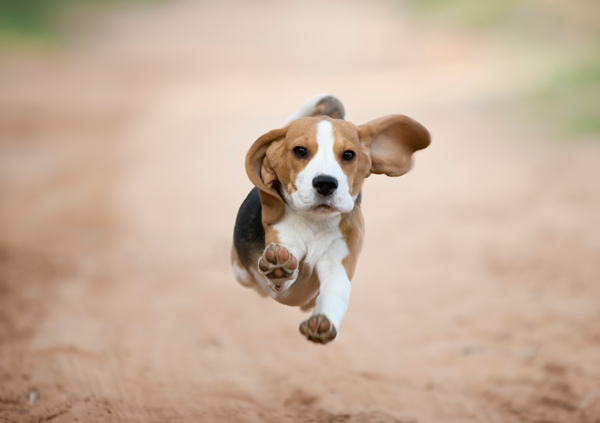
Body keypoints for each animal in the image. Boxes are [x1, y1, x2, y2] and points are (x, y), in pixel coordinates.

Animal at [231, 93, 432, 344]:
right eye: (300, 151)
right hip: (241, 272)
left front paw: (322, 322)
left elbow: (335, 292)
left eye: (348, 155)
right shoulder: (282, 246)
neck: (315, 224)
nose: (326, 183)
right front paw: (278, 267)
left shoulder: (338, 264)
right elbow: (282, 272)